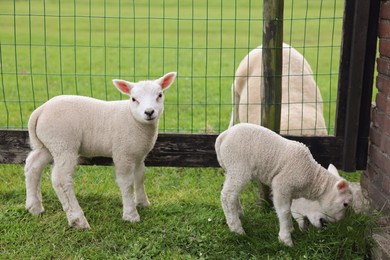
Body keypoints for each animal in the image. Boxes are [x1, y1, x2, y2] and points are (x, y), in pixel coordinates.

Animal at [24, 71, 177, 228]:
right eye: (134, 99)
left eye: (160, 95)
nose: (149, 112)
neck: (133, 119)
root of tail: (40, 110)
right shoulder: (123, 153)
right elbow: (127, 183)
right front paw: (131, 215)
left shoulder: (138, 154)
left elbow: (140, 177)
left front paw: (142, 203)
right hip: (63, 143)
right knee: (61, 179)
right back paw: (78, 220)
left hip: (49, 145)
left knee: (33, 165)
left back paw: (34, 207)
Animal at [215, 123, 354, 247]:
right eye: (345, 204)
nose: (329, 225)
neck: (311, 176)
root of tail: (223, 136)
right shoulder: (281, 185)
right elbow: (284, 211)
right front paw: (286, 240)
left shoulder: (290, 192)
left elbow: (290, 209)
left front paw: (291, 229)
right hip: (238, 166)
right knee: (227, 196)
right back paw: (237, 230)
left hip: (231, 169)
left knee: (232, 193)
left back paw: (239, 214)